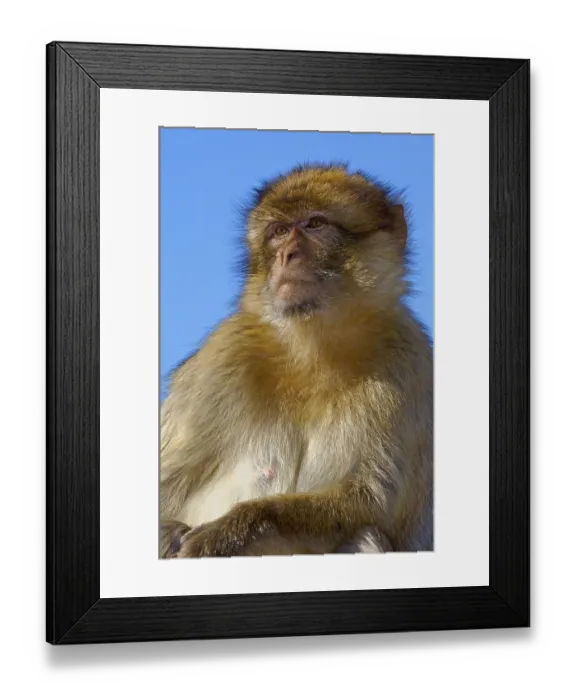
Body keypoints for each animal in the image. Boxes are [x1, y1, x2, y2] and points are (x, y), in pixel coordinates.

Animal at [159, 163, 433, 559]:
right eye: (277, 232)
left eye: (315, 224)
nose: (286, 255)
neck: (312, 353)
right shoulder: (219, 362)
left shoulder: (409, 362)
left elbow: (371, 500)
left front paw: (224, 534)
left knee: (365, 534)